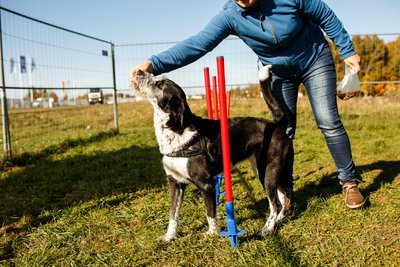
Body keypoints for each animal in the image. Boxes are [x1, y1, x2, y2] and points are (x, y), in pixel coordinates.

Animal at [133, 66, 292, 242]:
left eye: (160, 84)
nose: (139, 71)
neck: (176, 132)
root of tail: (276, 124)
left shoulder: (206, 184)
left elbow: (210, 213)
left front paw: (212, 234)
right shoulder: (175, 184)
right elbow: (173, 215)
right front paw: (169, 237)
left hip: (267, 171)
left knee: (275, 203)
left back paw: (267, 229)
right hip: (262, 171)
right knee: (282, 194)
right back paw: (279, 219)